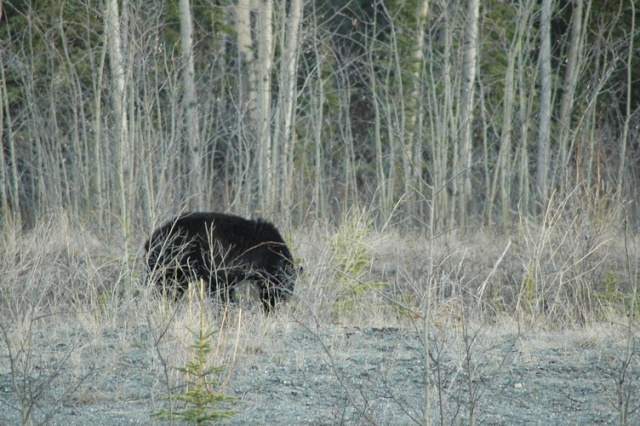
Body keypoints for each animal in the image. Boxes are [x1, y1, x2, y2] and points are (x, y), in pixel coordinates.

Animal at [144, 211, 296, 312]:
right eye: (283, 290)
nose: (272, 308)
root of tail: (151, 241)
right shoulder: (223, 266)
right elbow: (221, 290)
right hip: (174, 264)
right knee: (168, 287)